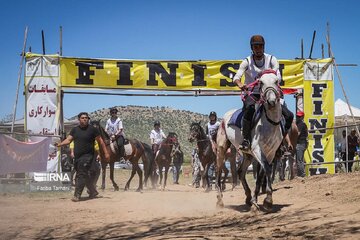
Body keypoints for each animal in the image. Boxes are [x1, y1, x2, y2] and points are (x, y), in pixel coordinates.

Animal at [215, 69, 282, 212]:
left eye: (276, 81)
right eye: (261, 82)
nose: (271, 101)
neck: (269, 124)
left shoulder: (270, 153)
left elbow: (263, 174)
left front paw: (258, 201)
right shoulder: (257, 150)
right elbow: (267, 170)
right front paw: (268, 201)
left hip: (247, 155)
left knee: (240, 172)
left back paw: (248, 197)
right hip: (222, 149)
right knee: (218, 170)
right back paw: (219, 200)